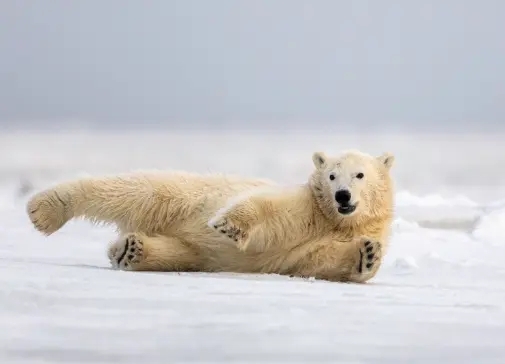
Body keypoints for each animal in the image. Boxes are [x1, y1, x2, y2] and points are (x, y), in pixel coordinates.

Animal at [25, 149, 394, 282]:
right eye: (332, 175)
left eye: (359, 175)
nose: (342, 195)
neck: (334, 220)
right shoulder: (307, 205)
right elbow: (268, 207)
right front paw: (229, 225)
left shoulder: (339, 231)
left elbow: (318, 260)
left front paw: (367, 255)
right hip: (185, 198)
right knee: (137, 190)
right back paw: (43, 209)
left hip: (193, 249)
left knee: (176, 252)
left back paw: (129, 250)